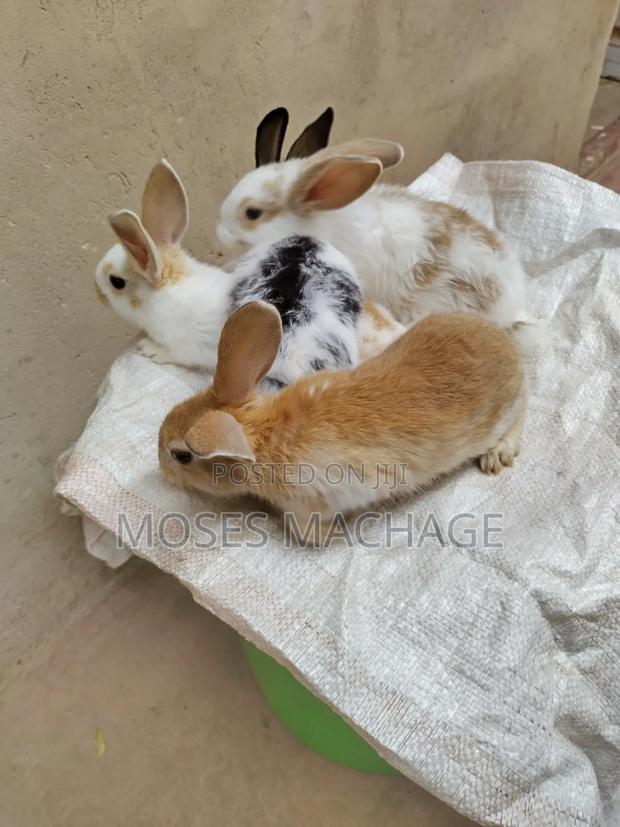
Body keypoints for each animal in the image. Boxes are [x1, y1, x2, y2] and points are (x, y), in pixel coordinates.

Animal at [95, 159, 403, 387]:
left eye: (116, 282)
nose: (97, 291)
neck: (164, 294)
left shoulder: (186, 347)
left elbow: (174, 355)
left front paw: (148, 348)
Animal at [159, 300, 527, 528]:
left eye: (181, 455)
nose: (161, 470)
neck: (263, 435)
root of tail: (506, 344)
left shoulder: (310, 503)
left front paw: (327, 535)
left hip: (504, 414)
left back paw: (497, 456)